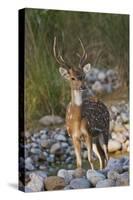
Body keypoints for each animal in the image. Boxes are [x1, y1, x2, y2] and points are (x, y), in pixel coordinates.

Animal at [53, 37, 109, 169]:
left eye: (83, 76)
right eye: (72, 78)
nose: (83, 86)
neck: (77, 121)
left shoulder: (88, 133)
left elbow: (90, 159)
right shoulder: (74, 137)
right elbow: (79, 163)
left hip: (105, 129)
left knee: (106, 154)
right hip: (95, 138)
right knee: (102, 156)